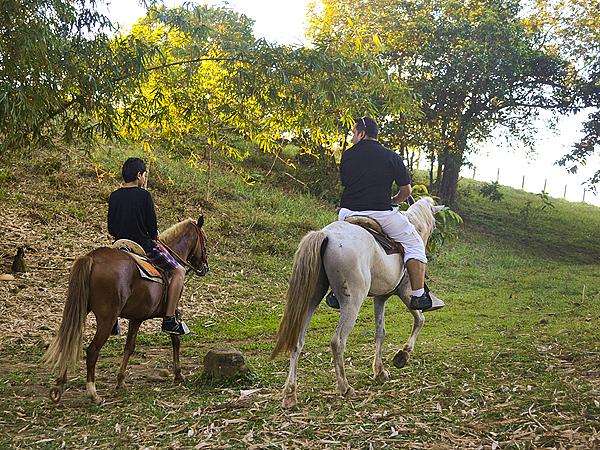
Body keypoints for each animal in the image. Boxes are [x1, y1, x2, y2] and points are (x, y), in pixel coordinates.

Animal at [43, 216, 207, 402]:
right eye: (204, 239)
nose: (205, 267)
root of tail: (91, 258)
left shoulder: (136, 318)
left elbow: (129, 347)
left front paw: (121, 381)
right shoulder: (171, 313)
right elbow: (175, 338)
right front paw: (178, 374)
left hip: (80, 311)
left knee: (71, 340)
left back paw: (59, 385)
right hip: (107, 319)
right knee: (92, 351)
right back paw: (93, 393)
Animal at [272, 197, 446, 408]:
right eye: (435, 224)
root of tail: (326, 235)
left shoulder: (381, 298)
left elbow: (380, 333)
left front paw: (380, 371)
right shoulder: (405, 292)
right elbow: (419, 319)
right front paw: (402, 355)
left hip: (311, 298)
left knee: (298, 340)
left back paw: (290, 394)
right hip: (353, 302)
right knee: (338, 341)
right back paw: (344, 387)